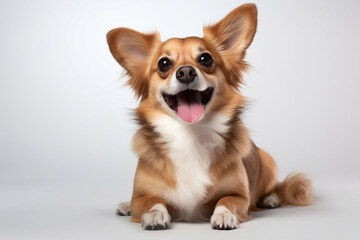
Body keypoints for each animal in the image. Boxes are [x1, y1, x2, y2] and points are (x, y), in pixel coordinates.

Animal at [106, 2, 312, 230]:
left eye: (205, 59)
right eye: (164, 64)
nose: (186, 72)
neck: (190, 135)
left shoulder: (240, 196)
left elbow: (227, 200)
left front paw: (224, 215)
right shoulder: (141, 196)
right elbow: (151, 200)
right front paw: (154, 214)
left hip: (268, 161)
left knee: (272, 188)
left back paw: (270, 199)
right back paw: (125, 206)